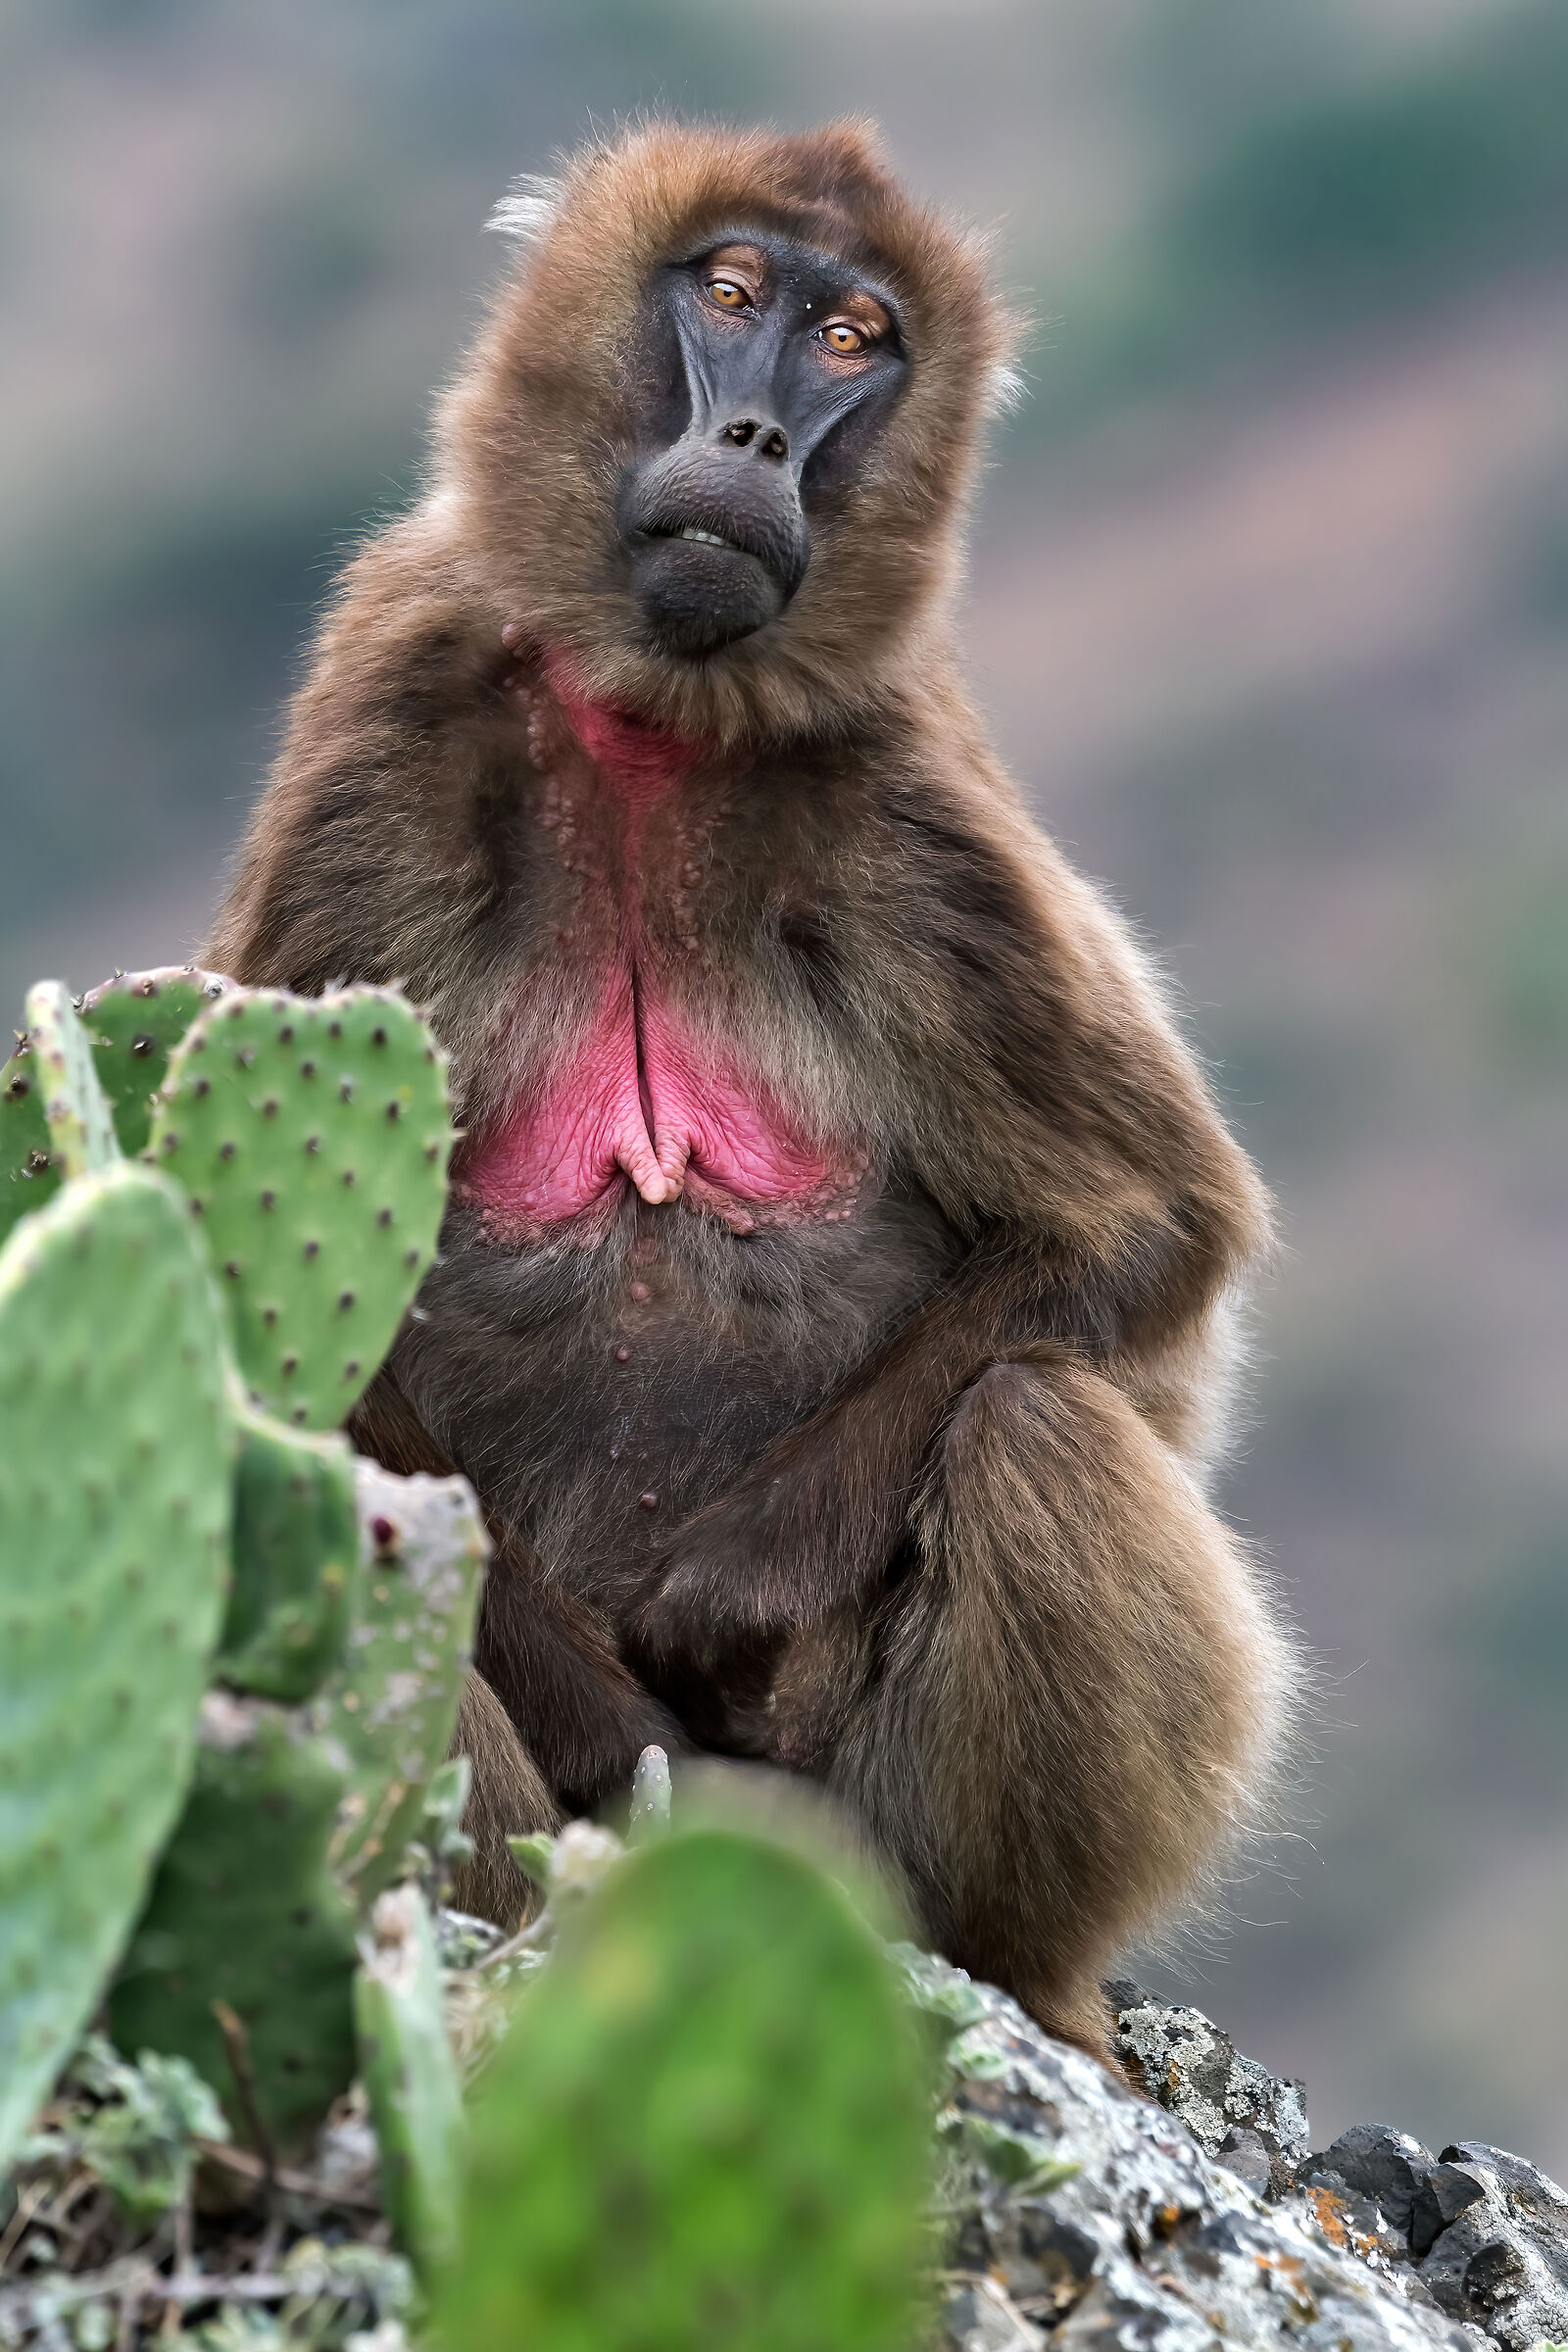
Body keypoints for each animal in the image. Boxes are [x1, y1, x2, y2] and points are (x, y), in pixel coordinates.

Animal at [206, 119, 1296, 2059]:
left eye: (854, 337)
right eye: (727, 294)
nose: (760, 443)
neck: (656, 721)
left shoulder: (903, 787)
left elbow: (1149, 1225)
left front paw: (731, 1597)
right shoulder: (391, 707)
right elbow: (304, 1323)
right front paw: (621, 1717)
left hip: (882, 1853)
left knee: (1035, 1415)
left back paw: (1013, 1972)